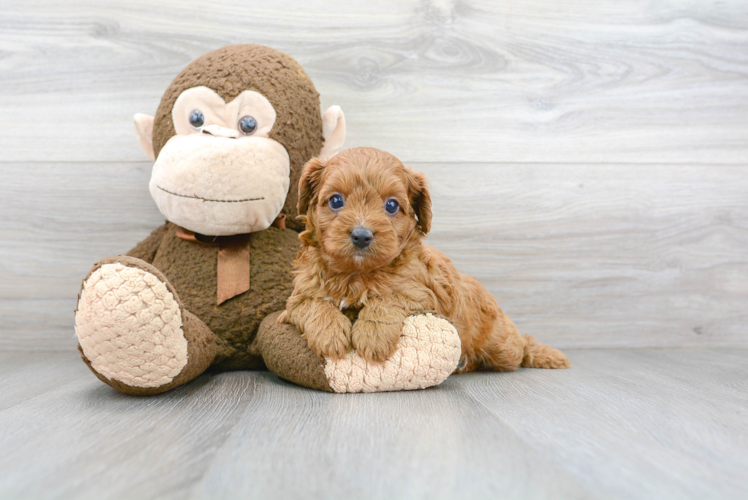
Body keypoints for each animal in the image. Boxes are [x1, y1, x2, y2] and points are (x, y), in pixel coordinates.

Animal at [282, 146, 572, 372]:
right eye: (336, 201)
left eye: (391, 205)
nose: (362, 235)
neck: (357, 272)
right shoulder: (296, 299)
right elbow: (314, 305)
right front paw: (329, 335)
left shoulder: (423, 296)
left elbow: (386, 299)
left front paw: (372, 336)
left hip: (502, 345)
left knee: (520, 347)